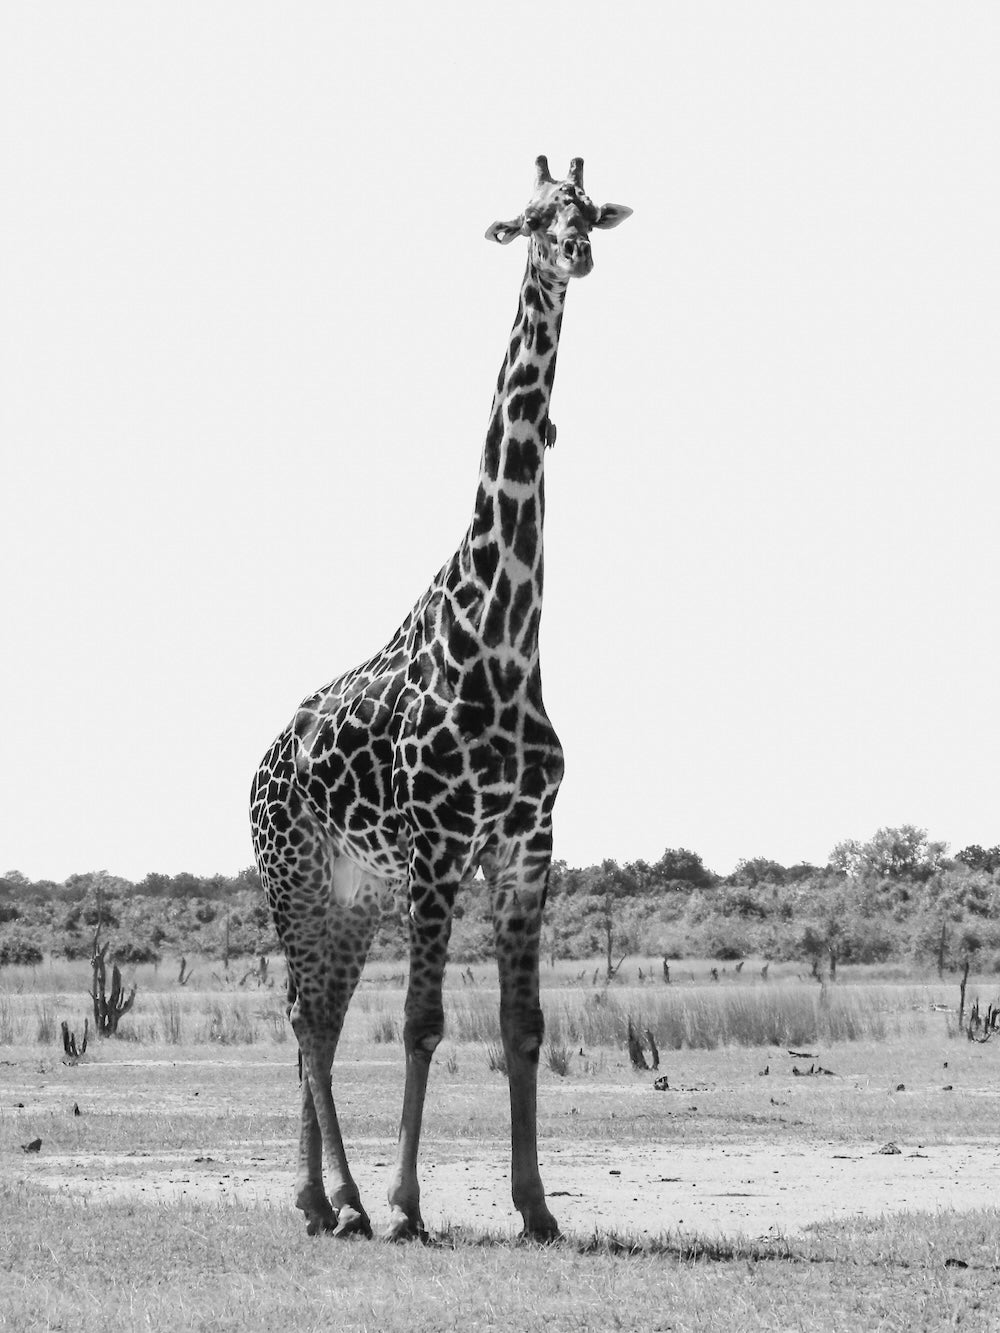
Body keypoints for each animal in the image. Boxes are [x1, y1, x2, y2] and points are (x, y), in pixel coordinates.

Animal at [250, 155, 631, 1242]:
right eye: (532, 218)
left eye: (588, 212)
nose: (576, 251)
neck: (503, 639)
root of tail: (262, 761)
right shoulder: (436, 845)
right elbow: (422, 1022)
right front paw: (408, 1202)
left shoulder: (527, 844)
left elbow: (522, 1023)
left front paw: (537, 1207)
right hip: (295, 876)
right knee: (305, 1013)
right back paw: (342, 1203)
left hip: (352, 894)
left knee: (321, 1013)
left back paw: (321, 1198)